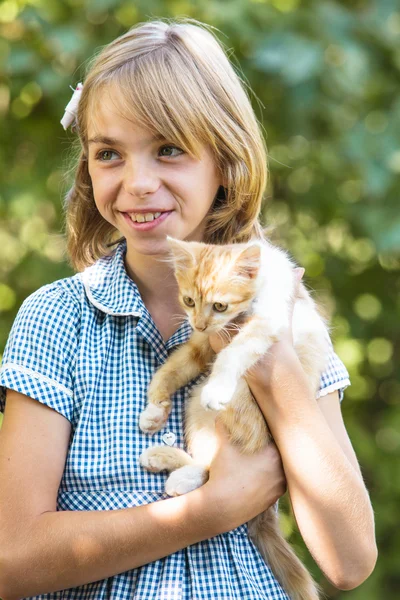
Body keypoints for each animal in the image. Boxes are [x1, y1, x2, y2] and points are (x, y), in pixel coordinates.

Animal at [138, 236, 328, 600]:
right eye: (188, 300)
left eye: (220, 306)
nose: (199, 322)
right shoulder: (202, 341)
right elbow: (174, 365)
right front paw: (154, 409)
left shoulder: (267, 321)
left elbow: (235, 351)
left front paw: (218, 385)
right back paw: (163, 458)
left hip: (229, 410)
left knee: (213, 469)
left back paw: (177, 473)